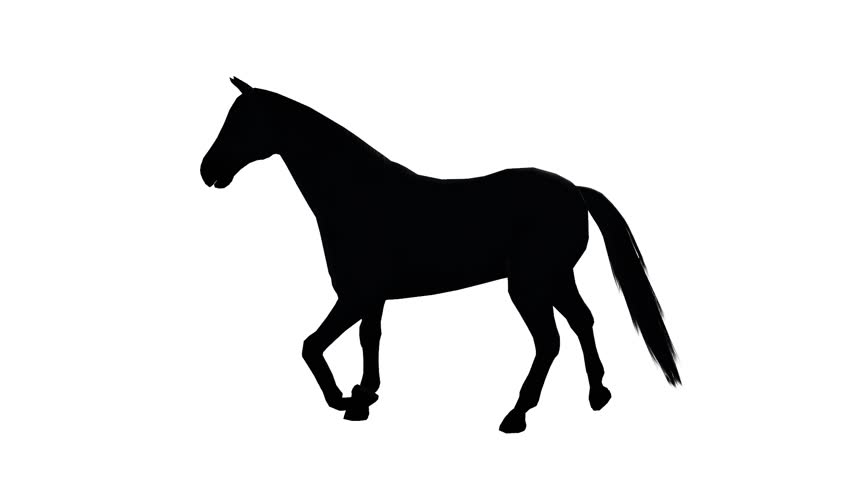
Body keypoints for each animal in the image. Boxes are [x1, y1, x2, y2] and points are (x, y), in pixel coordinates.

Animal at [200, 77, 680, 433]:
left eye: (242, 122)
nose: (208, 171)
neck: (356, 195)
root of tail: (574, 191)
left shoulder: (355, 295)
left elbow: (311, 346)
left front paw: (342, 400)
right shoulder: (372, 298)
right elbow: (368, 339)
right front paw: (364, 396)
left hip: (529, 285)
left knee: (549, 341)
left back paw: (516, 415)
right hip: (556, 277)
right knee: (582, 322)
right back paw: (598, 395)